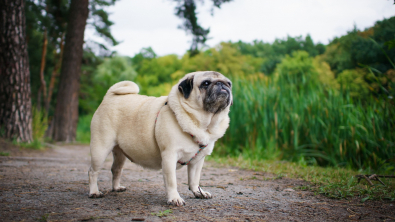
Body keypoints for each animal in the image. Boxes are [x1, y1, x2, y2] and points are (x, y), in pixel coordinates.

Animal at [89, 70, 232, 205]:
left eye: (229, 83)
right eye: (206, 83)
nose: (223, 85)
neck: (203, 125)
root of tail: (109, 96)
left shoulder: (197, 161)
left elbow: (194, 180)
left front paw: (198, 192)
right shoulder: (169, 156)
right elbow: (172, 181)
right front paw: (174, 198)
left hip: (120, 153)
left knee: (116, 169)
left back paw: (116, 188)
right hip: (100, 149)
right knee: (93, 171)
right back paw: (94, 192)